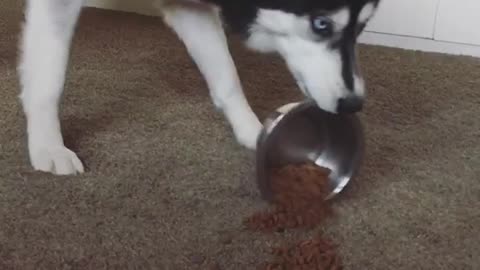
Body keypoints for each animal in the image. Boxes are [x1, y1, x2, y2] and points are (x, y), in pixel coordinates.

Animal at [17, 0, 378, 175]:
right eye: (322, 24)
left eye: (362, 27)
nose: (353, 104)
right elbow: (49, 78)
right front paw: (49, 147)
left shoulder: (188, 6)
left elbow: (226, 75)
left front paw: (252, 131)